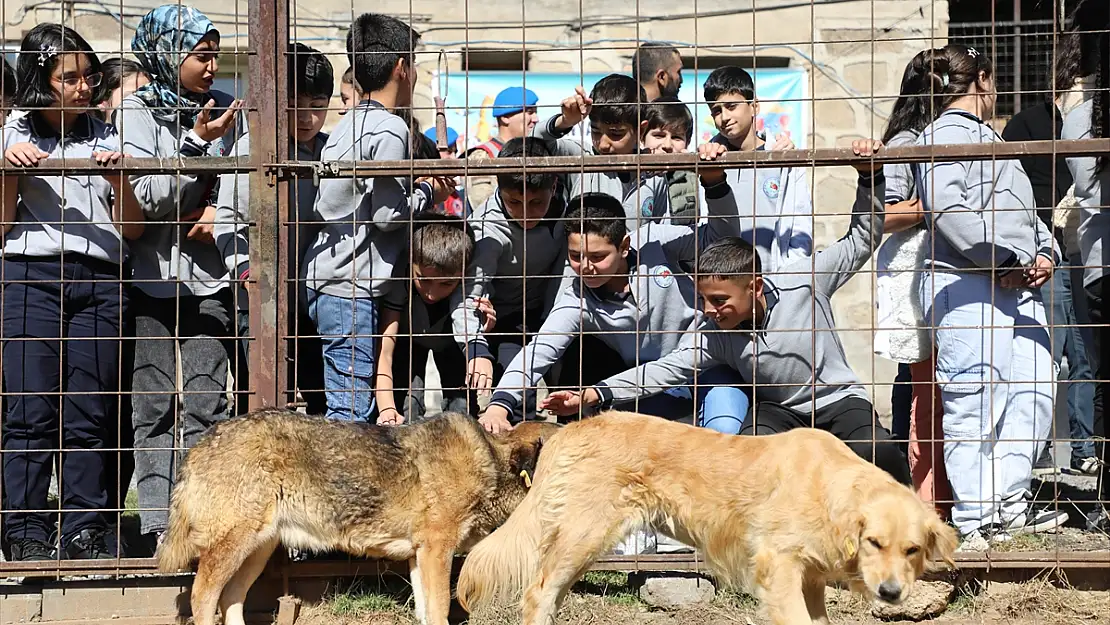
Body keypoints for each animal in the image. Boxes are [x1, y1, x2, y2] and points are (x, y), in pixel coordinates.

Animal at [153, 408, 559, 625]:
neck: (490, 463)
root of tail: (199, 444)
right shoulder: (436, 552)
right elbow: (442, 609)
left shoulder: (420, 557)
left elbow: (427, 611)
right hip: (234, 547)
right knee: (203, 598)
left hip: (257, 551)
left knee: (231, 599)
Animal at [455, 410, 959, 625]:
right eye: (874, 542)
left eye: (912, 550)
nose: (891, 594)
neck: (827, 485)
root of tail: (573, 426)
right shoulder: (777, 567)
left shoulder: (811, 579)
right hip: (583, 535)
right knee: (537, 594)